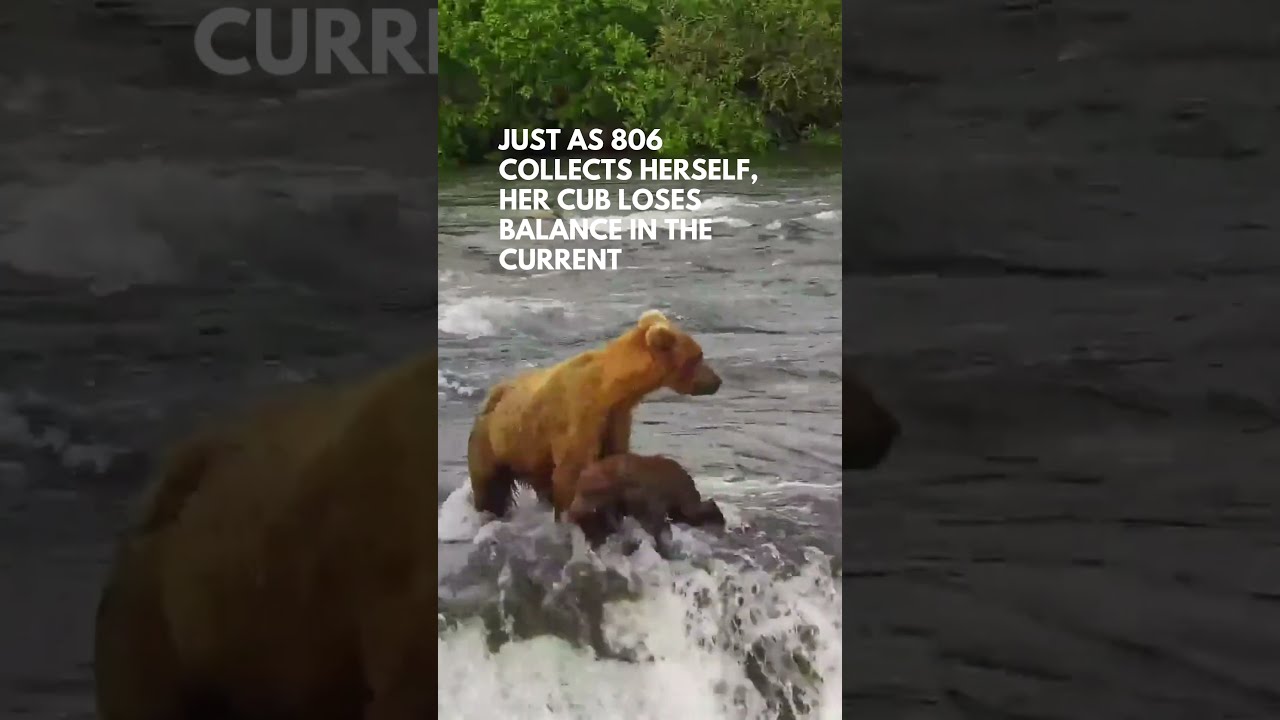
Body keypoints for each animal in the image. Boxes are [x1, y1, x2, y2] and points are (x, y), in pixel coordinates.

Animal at [467, 309, 721, 518]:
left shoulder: (616, 417)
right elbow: (572, 471)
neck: (610, 391)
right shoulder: (581, 415)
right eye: (698, 356)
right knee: (489, 488)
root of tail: (491, 397)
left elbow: (615, 459)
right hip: (494, 443)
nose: (716, 381)